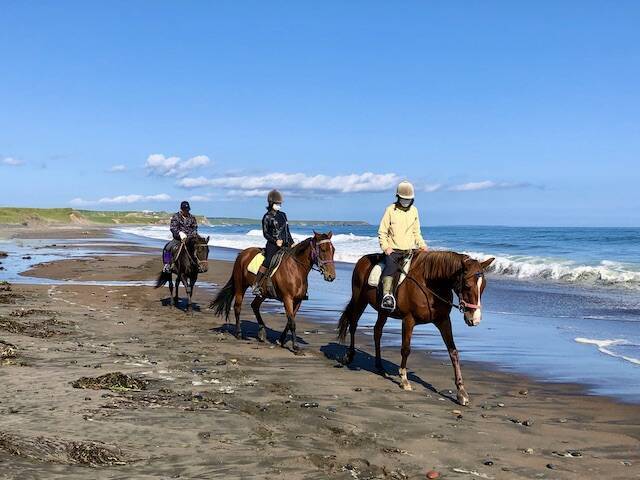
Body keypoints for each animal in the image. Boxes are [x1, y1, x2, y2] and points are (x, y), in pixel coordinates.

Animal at [337, 250, 494, 405]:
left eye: (483, 286)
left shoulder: (443, 320)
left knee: (377, 331)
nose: (475, 319)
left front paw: (461, 392)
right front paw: (404, 379)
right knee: (353, 324)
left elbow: (453, 352)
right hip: (360, 299)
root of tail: (363, 259)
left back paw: (380, 366)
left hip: (383, 311)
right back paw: (349, 356)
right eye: (467, 285)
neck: (430, 285)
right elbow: (406, 349)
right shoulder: (408, 320)